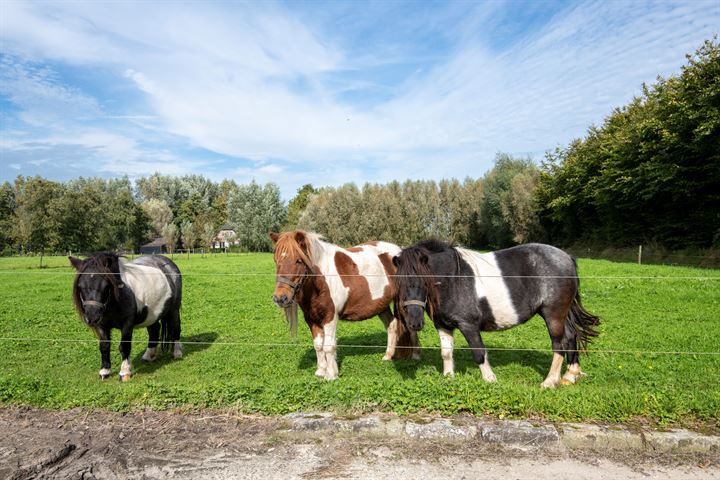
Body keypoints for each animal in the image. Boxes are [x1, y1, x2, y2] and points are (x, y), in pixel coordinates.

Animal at [69, 251, 183, 382]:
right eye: (80, 286)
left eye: (106, 286)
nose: (92, 317)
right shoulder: (101, 325)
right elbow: (104, 346)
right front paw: (104, 371)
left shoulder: (127, 324)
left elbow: (124, 346)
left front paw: (125, 372)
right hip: (151, 314)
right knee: (154, 330)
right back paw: (149, 355)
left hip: (174, 310)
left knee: (175, 328)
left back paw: (177, 353)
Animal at [268, 231, 422, 380]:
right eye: (276, 260)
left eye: (299, 260)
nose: (280, 298)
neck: (321, 281)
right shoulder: (311, 319)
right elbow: (318, 346)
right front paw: (320, 371)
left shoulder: (330, 317)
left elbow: (328, 346)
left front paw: (331, 375)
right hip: (382, 305)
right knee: (392, 325)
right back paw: (388, 356)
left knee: (410, 326)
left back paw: (415, 355)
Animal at [390, 240, 600, 390]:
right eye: (398, 283)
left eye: (423, 281)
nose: (414, 323)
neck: (452, 279)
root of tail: (567, 257)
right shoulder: (443, 325)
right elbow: (446, 354)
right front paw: (449, 378)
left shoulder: (468, 325)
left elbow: (479, 353)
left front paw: (490, 379)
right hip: (561, 314)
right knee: (571, 336)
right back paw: (570, 375)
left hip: (553, 314)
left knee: (559, 343)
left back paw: (549, 382)